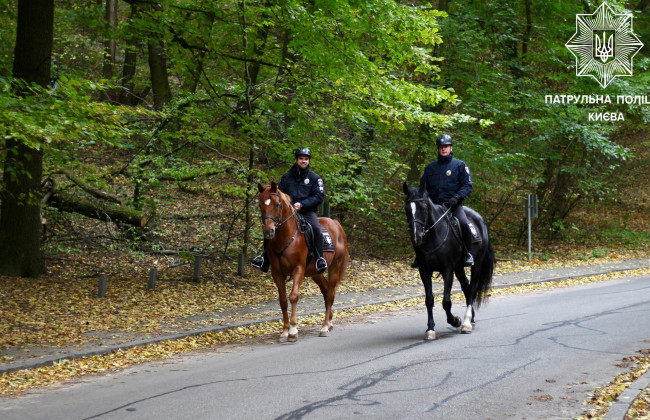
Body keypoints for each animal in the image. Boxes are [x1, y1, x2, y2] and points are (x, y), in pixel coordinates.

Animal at [256, 180, 346, 342]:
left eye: (277, 204)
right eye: (260, 205)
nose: (268, 231)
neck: (285, 237)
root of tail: (335, 223)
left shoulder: (298, 269)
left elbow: (293, 296)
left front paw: (293, 331)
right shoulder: (276, 272)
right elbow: (283, 300)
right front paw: (285, 331)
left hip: (335, 267)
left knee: (330, 293)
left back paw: (324, 327)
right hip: (315, 272)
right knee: (326, 290)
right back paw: (329, 322)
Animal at [400, 182, 492, 340]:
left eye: (423, 208)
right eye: (407, 208)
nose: (416, 237)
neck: (433, 235)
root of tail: (480, 219)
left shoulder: (447, 269)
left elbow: (446, 302)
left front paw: (455, 320)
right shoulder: (424, 270)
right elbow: (429, 300)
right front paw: (430, 329)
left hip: (476, 264)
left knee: (472, 289)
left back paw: (466, 322)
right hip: (459, 268)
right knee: (467, 288)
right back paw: (471, 320)